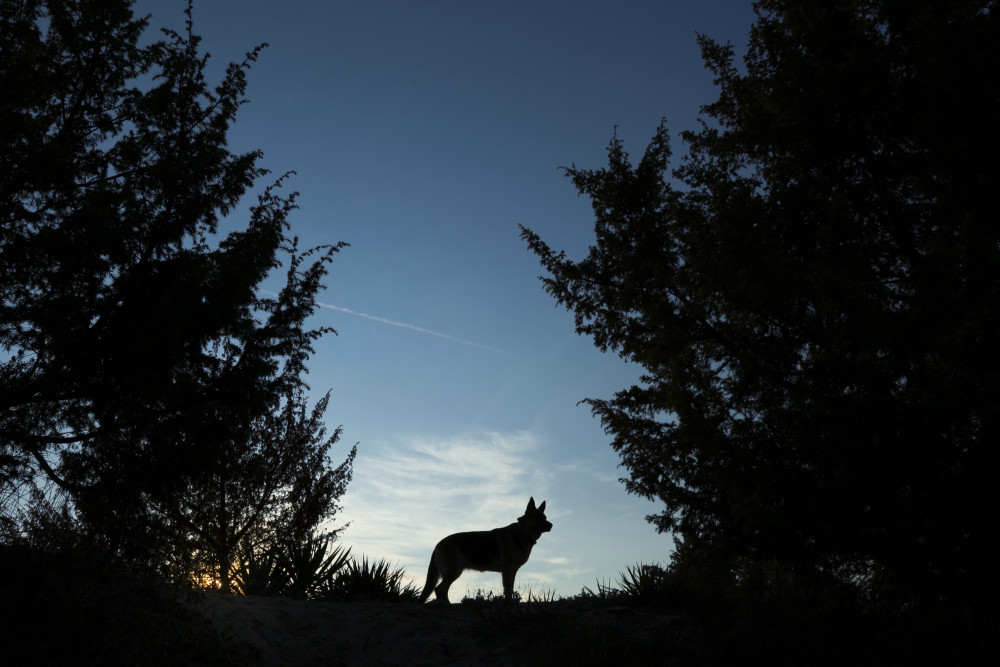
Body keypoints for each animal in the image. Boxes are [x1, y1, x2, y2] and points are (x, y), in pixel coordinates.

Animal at [418, 498, 552, 604]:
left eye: (545, 517)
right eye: (538, 518)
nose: (551, 525)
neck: (522, 532)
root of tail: (437, 545)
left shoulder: (512, 571)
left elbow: (510, 589)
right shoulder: (506, 569)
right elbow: (507, 589)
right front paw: (507, 604)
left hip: (453, 572)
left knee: (441, 590)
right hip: (454, 571)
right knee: (439, 589)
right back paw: (447, 605)